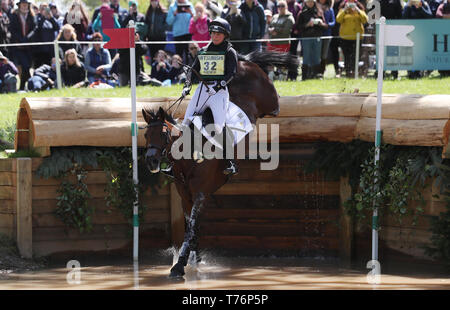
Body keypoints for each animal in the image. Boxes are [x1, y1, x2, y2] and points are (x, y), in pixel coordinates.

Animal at [142, 50, 298, 278]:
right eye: (146, 135)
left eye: (163, 134)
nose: (151, 160)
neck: (189, 158)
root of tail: (244, 61)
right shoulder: (186, 197)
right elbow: (192, 227)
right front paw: (194, 260)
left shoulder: (199, 195)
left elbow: (191, 228)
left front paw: (179, 265)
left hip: (267, 97)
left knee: (274, 104)